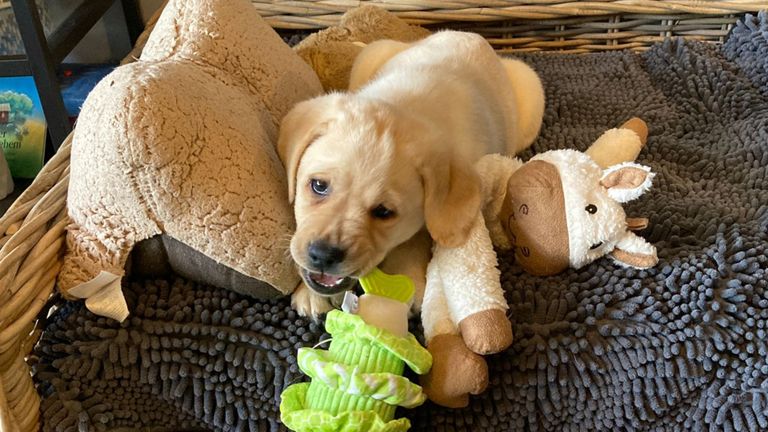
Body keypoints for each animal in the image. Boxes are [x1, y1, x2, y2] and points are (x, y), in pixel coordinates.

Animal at [280, 29, 544, 314]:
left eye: (384, 212)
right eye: (318, 185)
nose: (324, 256)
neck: (406, 107)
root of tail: (467, 33)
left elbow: (417, 237)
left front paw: (406, 277)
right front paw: (309, 292)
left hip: (530, 92)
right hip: (372, 55)